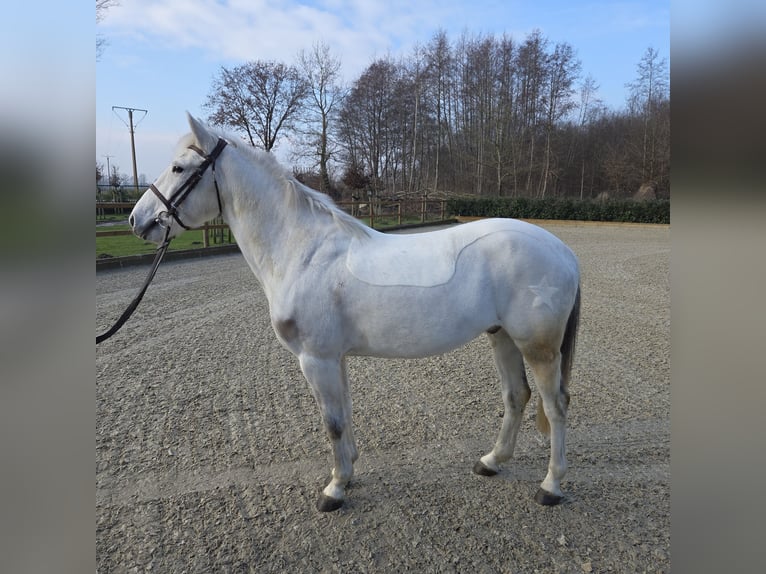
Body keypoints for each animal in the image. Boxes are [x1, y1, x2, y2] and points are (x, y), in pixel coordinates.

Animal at [129, 114, 581, 512]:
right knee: (517, 396)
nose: (137, 219)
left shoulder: (316, 359)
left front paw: (334, 490)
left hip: (538, 347)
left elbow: (332, 423)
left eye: (179, 167)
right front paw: (347, 474)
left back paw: (551, 486)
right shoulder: (333, 359)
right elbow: (343, 415)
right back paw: (491, 462)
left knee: (556, 405)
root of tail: (563, 251)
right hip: (502, 336)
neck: (302, 250)